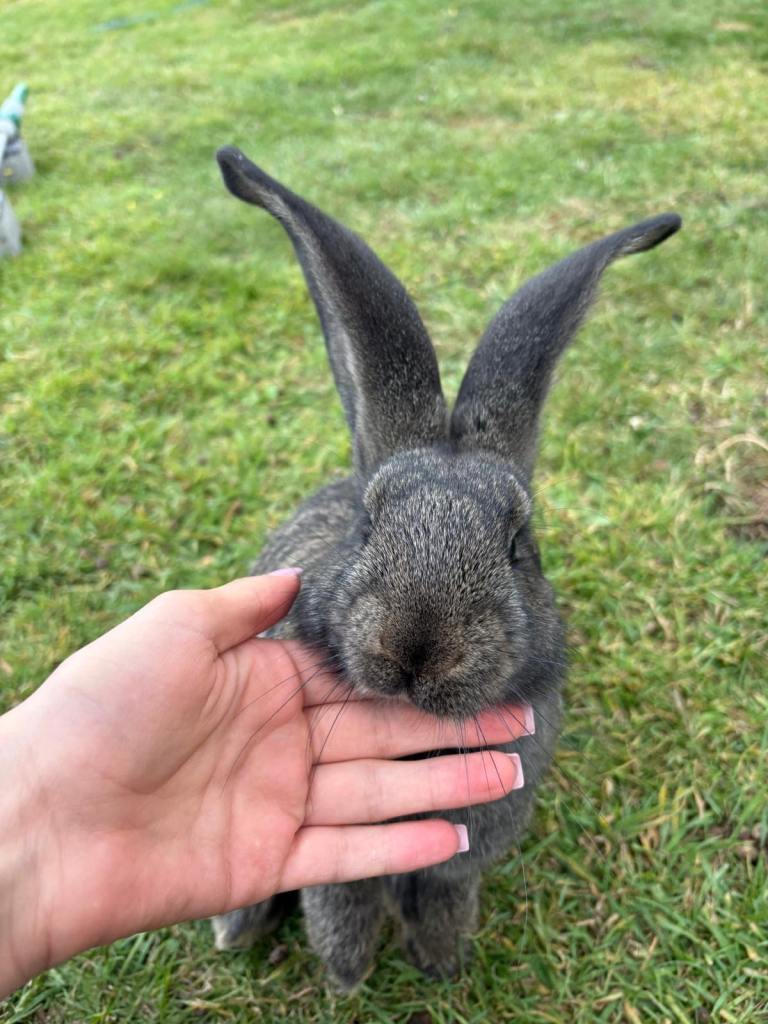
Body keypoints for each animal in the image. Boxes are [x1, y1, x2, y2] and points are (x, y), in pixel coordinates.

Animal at [209, 145, 681, 989]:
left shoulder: (456, 856)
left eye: (520, 545)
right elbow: (341, 901)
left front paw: (441, 963)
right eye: (367, 524)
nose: (417, 649)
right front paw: (347, 975)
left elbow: (442, 890)